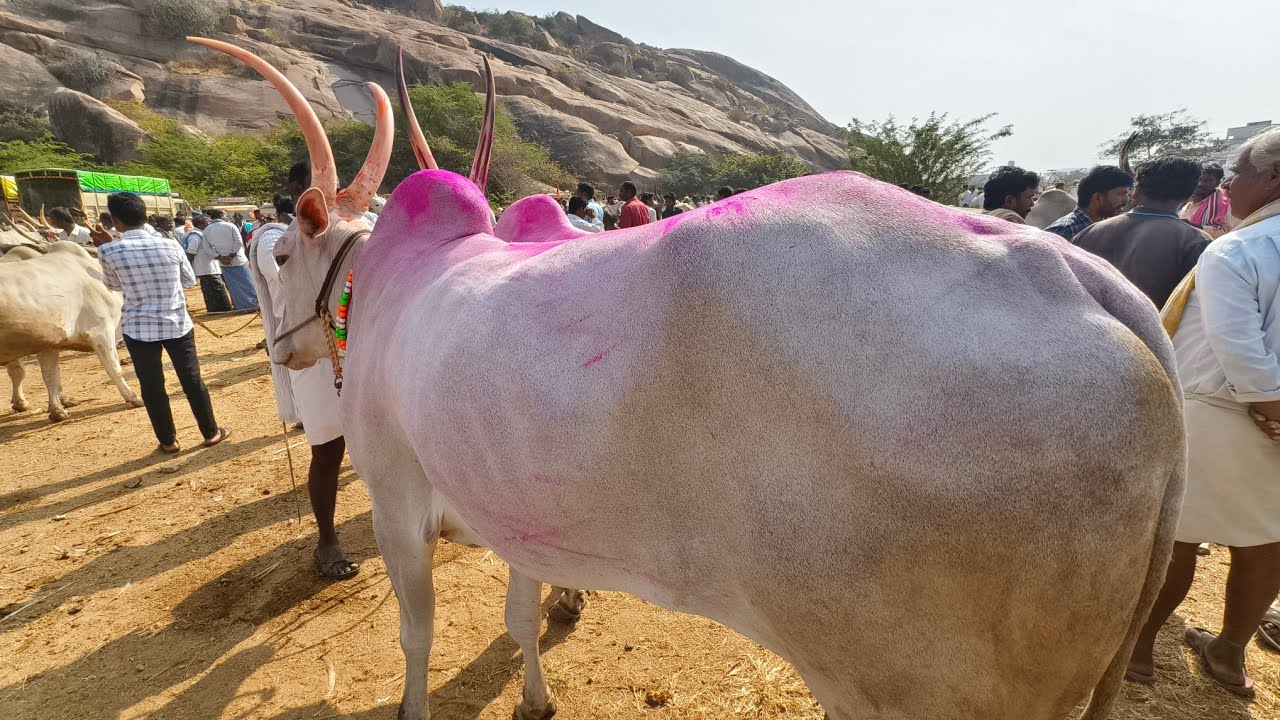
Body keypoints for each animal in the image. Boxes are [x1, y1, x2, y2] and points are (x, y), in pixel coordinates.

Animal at [1, 241, 143, 421]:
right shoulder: (101, 331)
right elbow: (115, 369)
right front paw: (133, 397)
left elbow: (51, 376)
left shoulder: (48, 344)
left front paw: (57, 411)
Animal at [198, 39, 1185, 720]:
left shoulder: (398, 497)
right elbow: (517, 616)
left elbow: (418, 630)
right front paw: (536, 697)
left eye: (279, 252)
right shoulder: (511, 508)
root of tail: (1075, 275)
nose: (280, 351)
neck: (391, 280)